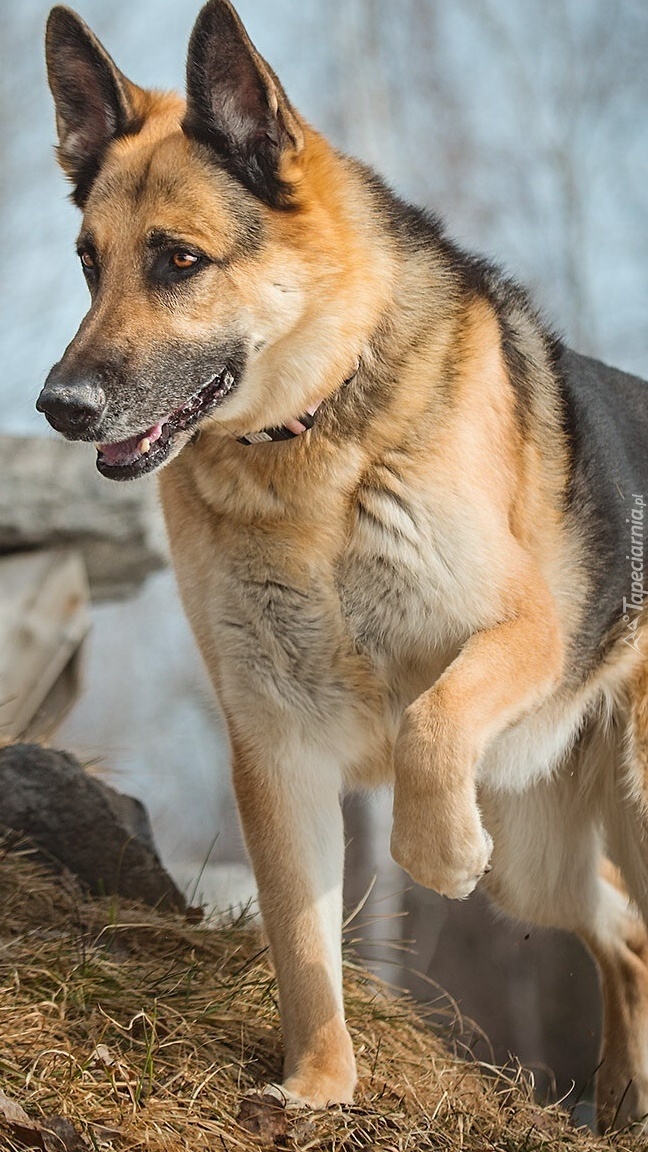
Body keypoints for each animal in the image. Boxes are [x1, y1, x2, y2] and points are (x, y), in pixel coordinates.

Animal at [39, 0, 645, 1133]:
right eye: (90, 262)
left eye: (178, 261)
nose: (58, 407)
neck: (307, 448)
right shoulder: (275, 748)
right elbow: (300, 944)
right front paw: (319, 1088)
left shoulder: (523, 632)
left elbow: (429, 723)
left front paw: (436, 852)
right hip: (536, 859)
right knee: (627, 935)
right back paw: (626, 1103)